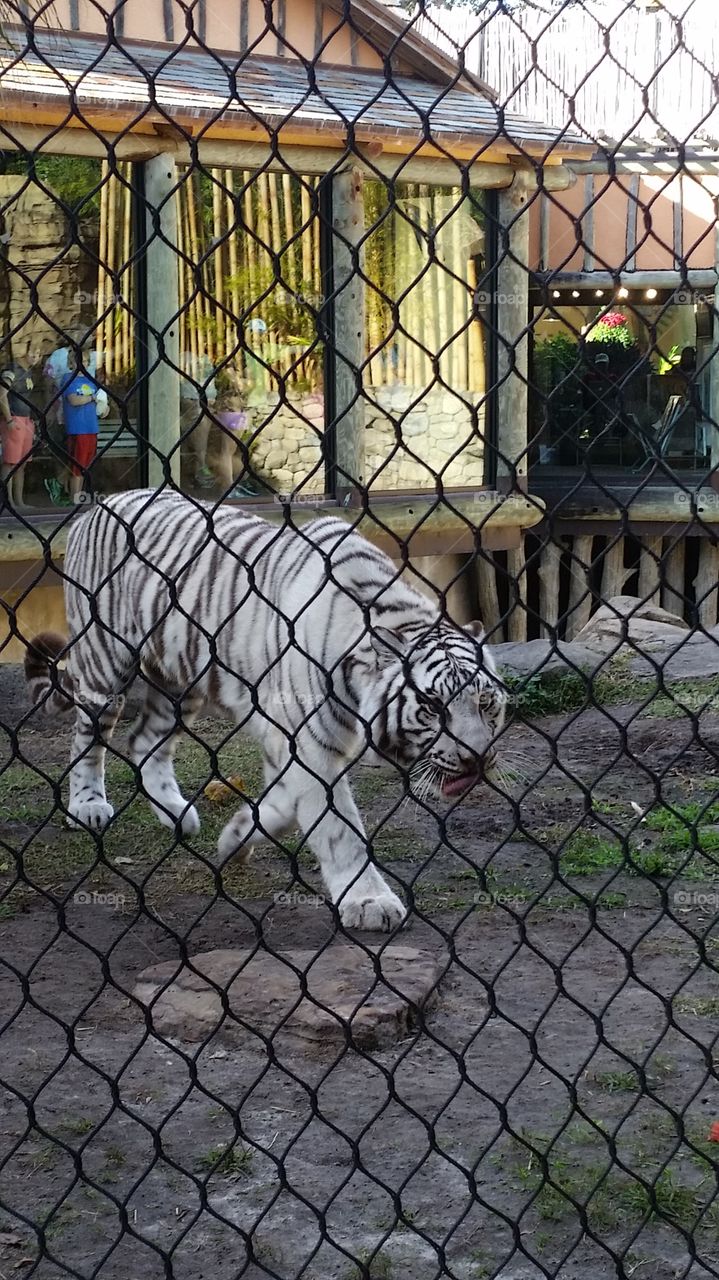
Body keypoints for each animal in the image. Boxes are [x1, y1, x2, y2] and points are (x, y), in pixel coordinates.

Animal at [23, 488, 504, 931]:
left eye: (485, 702)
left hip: (180, 683)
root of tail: (96, 505)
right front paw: (370, 902)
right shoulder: (309, 746)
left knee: (144, 742)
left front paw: (236, 838)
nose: (476, 758)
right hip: (106, 663)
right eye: (432, 706)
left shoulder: (286, 742)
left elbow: (284, 807)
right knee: (89, 739)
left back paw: (177, 815)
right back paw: (87, 806)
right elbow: (339, 830)